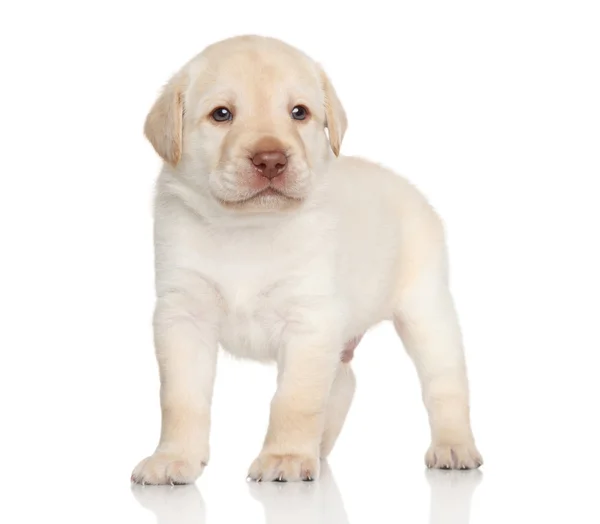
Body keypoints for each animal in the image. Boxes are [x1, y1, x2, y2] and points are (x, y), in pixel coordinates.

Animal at [131, 34, 482, 486]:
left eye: (299, 112)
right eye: (221, 114)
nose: (271, 160)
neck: (247, 228)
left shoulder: (310, 322)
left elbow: (294, 399)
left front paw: (284, 457)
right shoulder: (182, 317)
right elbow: (180, 400)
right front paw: (174, 458)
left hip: (426, 311)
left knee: (445, 385)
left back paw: (454, 446)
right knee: (343, 381)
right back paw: (321, 447)